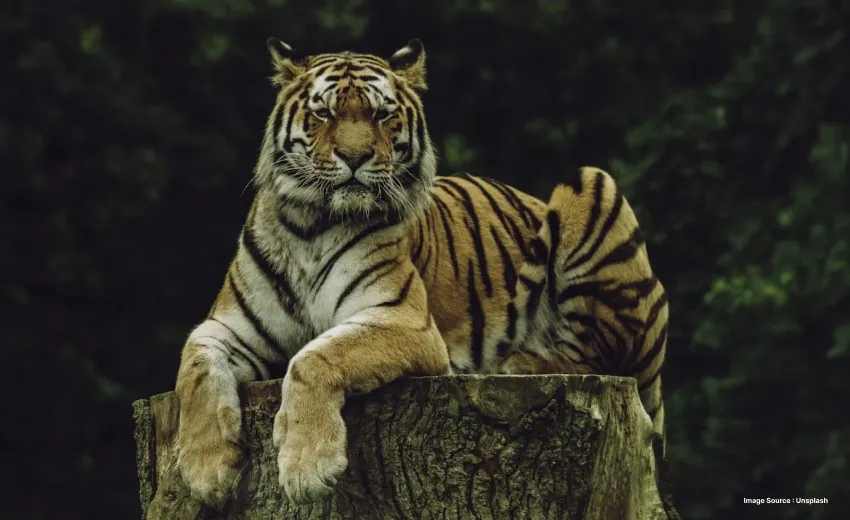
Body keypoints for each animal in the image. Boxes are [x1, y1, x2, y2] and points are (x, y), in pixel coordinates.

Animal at [174, 37, 668, 508]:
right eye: (324, 112)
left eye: (382, 114)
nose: (355, 156)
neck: (310, 227)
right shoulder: (228, 327)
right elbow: (195, 370)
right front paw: (206, 472)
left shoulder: (403, 319)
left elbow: (314, 357)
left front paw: (307, 468)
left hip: (592, 183)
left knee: (598, 354)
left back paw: (517, 362)